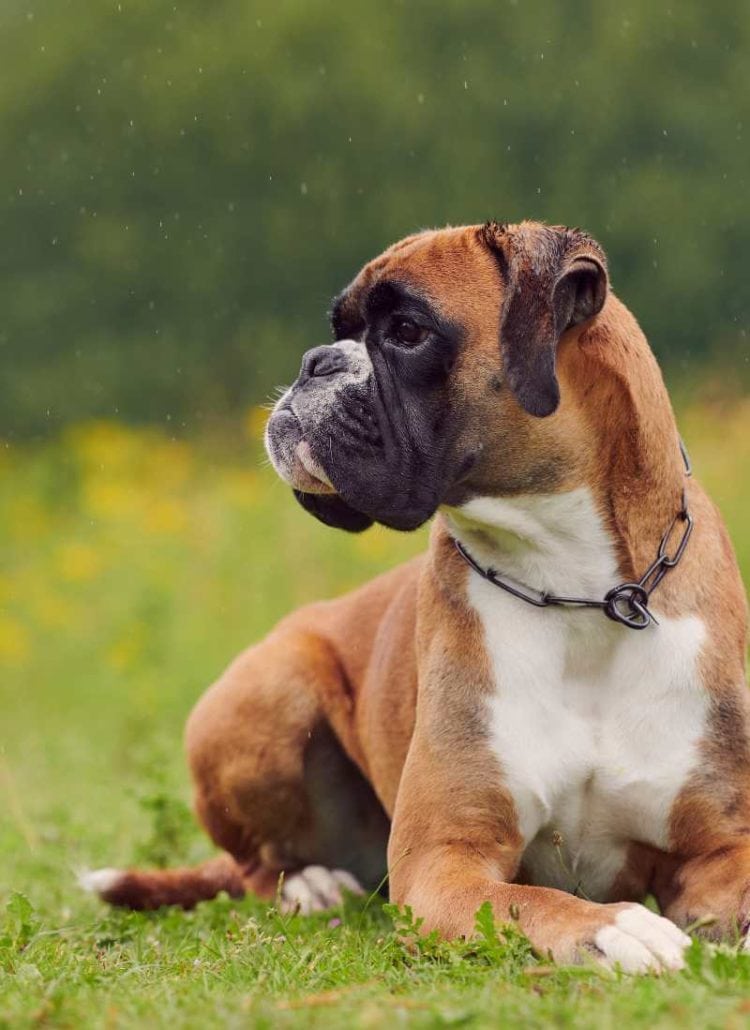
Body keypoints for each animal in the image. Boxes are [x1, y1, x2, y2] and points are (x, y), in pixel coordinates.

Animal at [83, 221, 750, 968]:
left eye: (407, 331)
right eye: (338, 329)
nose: (315, 361)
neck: (581, 591)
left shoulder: (720, 846)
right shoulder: (444, 862)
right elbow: (535, 902)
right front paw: (618, 929)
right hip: (269, 687)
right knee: (257, 866)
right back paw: (310, 886)